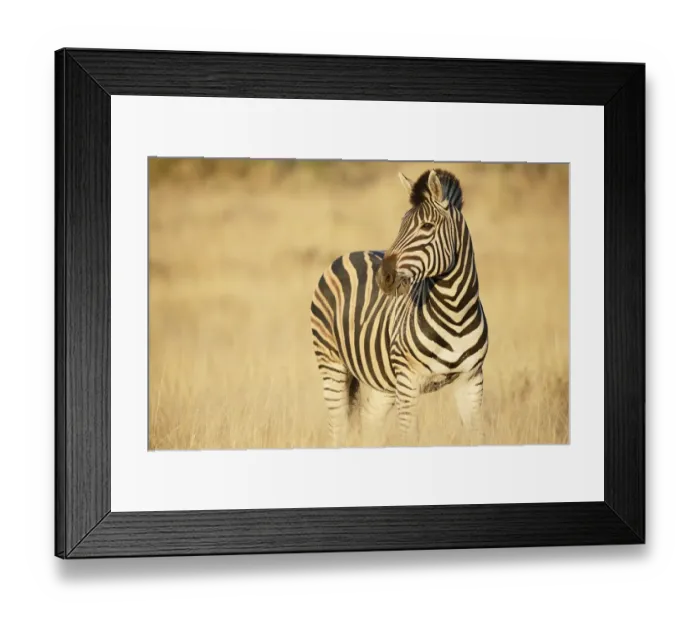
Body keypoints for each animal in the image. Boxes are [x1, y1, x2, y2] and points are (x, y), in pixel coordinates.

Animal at [310, 168, 488, 447]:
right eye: (401, 226)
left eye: (427, 227)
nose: (383, 277)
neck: (456, 310)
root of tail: (347, 254)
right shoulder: (408, 382)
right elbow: (409, 437)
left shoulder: (471, 380)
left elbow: (476, 435)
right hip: (331, 363)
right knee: (337, 428)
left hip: (381, 381)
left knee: (369, 422)